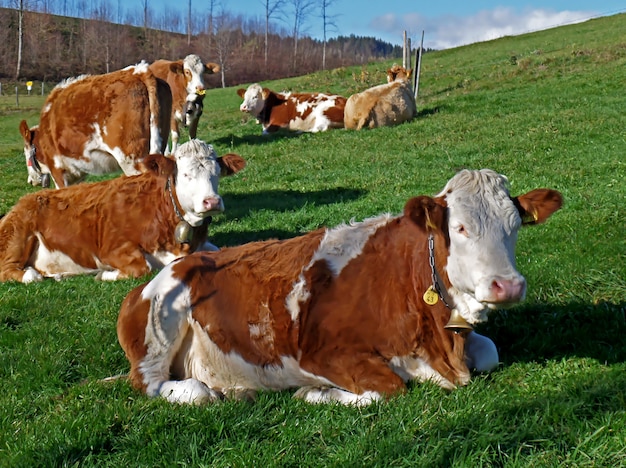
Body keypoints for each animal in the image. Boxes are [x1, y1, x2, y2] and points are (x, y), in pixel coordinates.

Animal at [0, 139, 245, 284]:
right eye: (185, 174)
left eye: (217, 172)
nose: (212, 202)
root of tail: (24, 201)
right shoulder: (111, 248)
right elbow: (142, 267)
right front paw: (106, 274)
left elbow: (222, 250)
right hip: (16, 237)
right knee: (10, 269)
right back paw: (32, 274)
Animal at [116, 168, 560, 406]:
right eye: (461, 228)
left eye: (515, 225)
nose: (507, 286)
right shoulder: (319, 353)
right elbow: (391, 387)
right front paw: (315, 394)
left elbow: (490, 352)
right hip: (160, 329)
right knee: (160, 384)